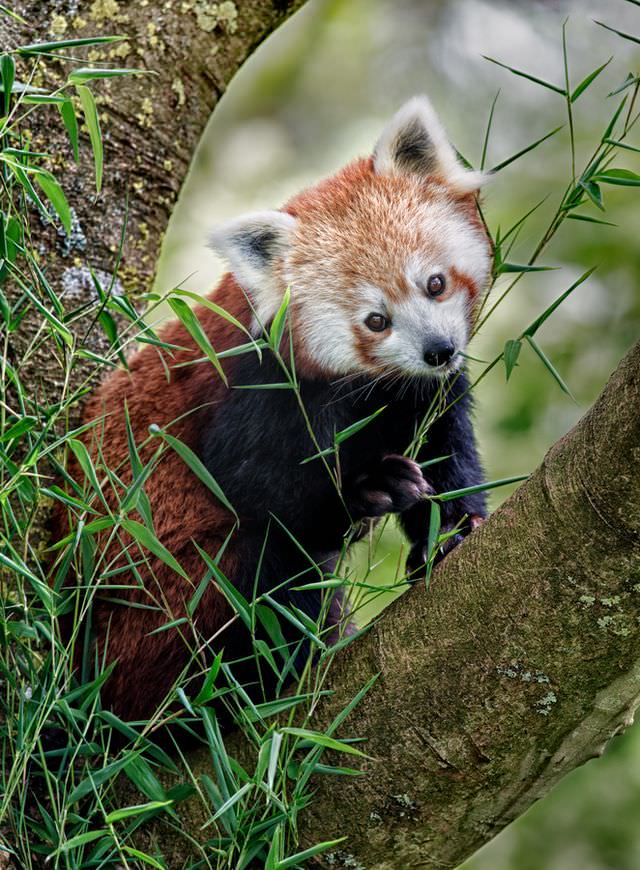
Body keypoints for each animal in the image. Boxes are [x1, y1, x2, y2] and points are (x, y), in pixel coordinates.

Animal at [53, 95, 490, 724]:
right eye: (375, 320)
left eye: (434, 284)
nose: (438, 349)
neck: (368, 389)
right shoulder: (259, 388)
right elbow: (255, 486)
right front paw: (366, 489)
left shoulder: (422, 394)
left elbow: (444, 452)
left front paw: (451, 531)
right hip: (160, 618)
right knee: (260, 575)